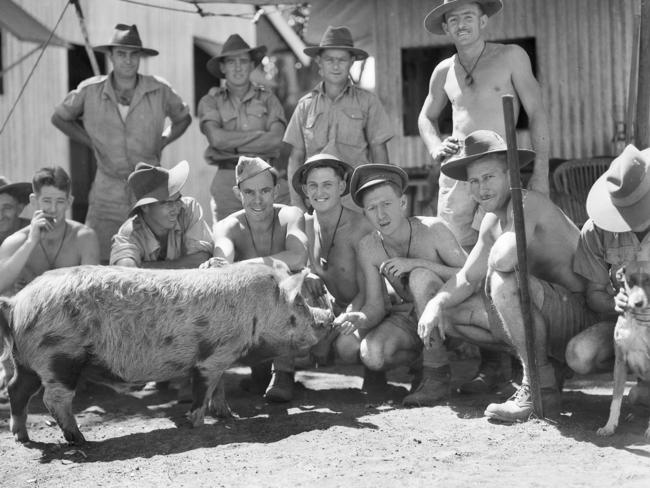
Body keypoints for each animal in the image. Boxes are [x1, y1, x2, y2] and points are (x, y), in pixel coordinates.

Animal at [0, 264, 334, 444]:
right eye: (299, 304)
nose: (328, 320)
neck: (257, 309)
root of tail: (17, 302)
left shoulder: (219, 358)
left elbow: (219, 387)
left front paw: (228, 416)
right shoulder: (212, 357)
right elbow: (203, 389)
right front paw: (196, 423)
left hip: (27, 361)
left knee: (17, 389)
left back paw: (23, 438)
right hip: (59, 356)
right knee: (53, 399)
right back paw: (81, 441)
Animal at [596, 262, 648, 440]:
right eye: (630, 282)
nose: (638, 303)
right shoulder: (620, 363)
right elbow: (616, 398)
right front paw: (609, 426)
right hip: (634, 394)